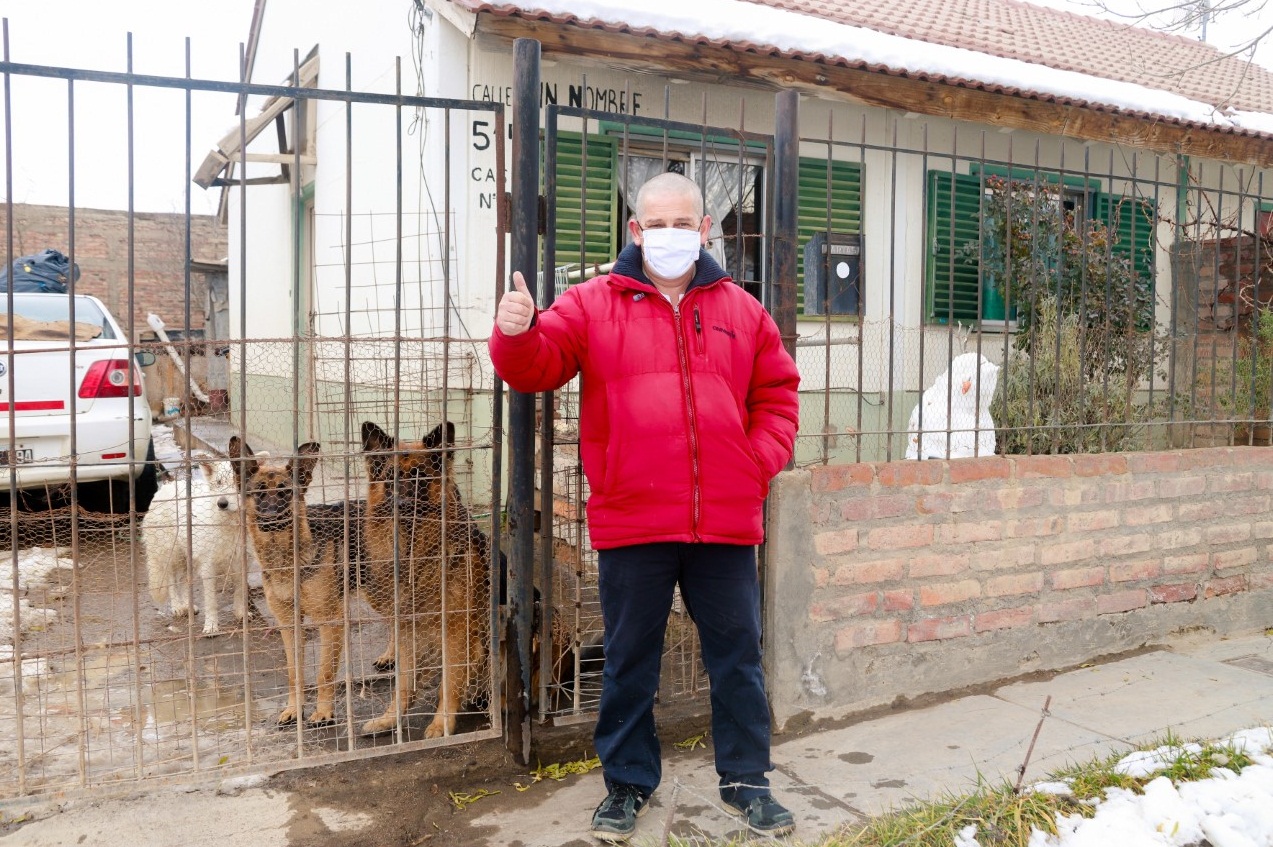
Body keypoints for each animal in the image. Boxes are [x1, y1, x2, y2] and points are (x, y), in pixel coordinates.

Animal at [143, 459, 246, 635]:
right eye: (219, 482)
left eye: (237, 481)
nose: (222, 503)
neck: (230, 522)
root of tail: (164, 489)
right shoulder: (208, 566)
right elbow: (211, 601)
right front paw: (211, 626)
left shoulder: (241, 561)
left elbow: (240, 591)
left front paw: (241, 613)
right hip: (172, 553)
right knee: (172, 581)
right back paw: (178, 607)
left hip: (188, 556)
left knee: (185, 581)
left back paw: (188, 606)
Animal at [229, 436, 366, 727]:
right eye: (259, 493)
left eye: (284, 493)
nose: (272, 517)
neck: (285, 559)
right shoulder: (288, 625)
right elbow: (294, 673)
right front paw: (294, 709)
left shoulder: (331, 621)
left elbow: (325, 673)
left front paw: (323, 711)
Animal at [359, 420, 495, 738]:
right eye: (391, 477)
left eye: (420, 476)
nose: (402, 504)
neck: (416, 553)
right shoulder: (407, 631)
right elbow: (403, 683)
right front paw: (390, 719)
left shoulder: (456, 634)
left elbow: (449, 683)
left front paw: (441, 724)